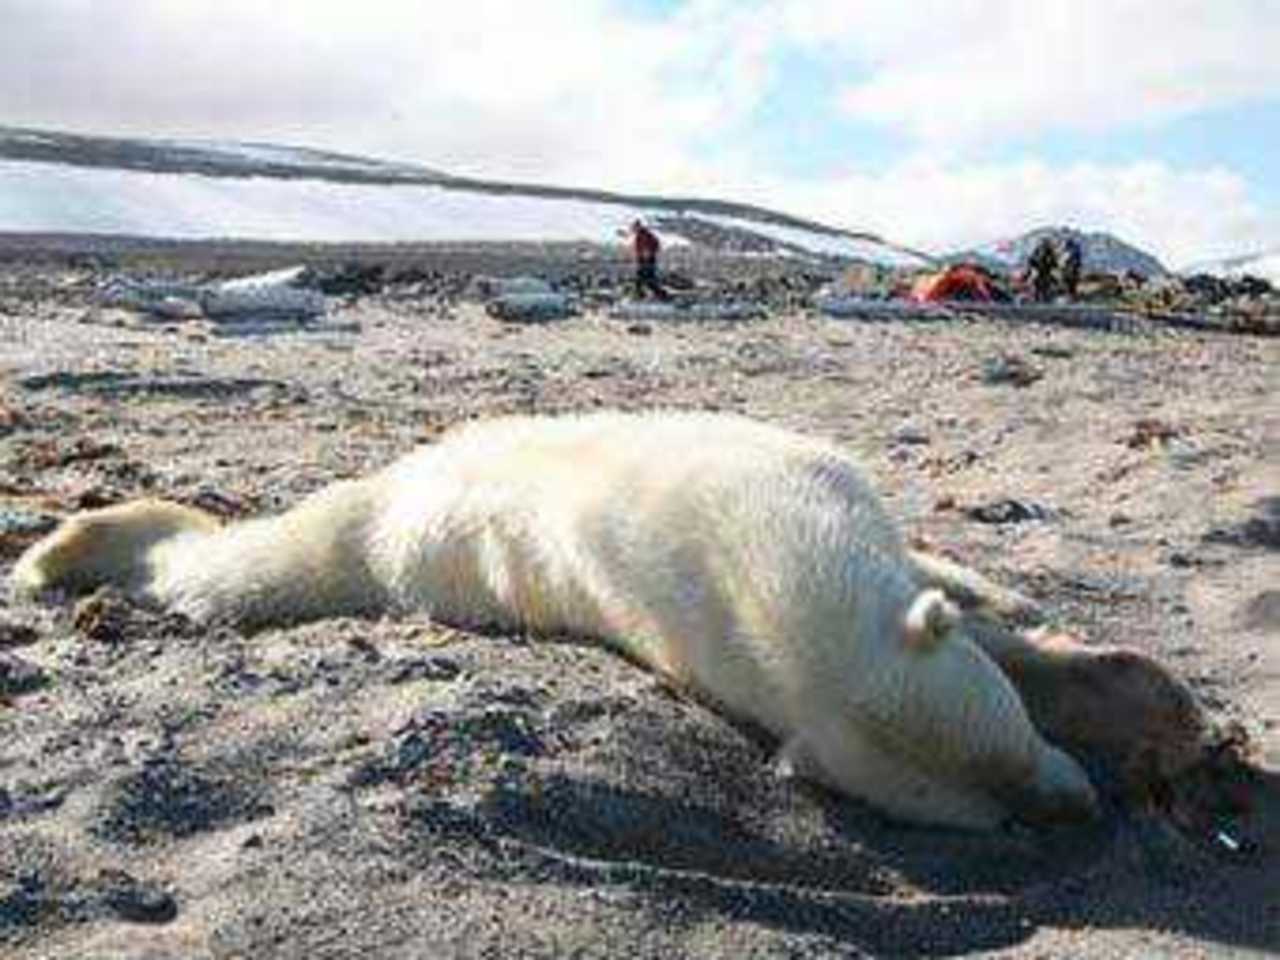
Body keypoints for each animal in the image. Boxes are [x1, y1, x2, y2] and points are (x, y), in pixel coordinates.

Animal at [12, 410, 1107, 830]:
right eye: (988, 807)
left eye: (1018, 740)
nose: (1077, 808)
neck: (752, 565)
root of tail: (391, 493)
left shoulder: (811, 476)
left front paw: (1004, 600)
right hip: (406, 542)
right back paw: (61, 550)